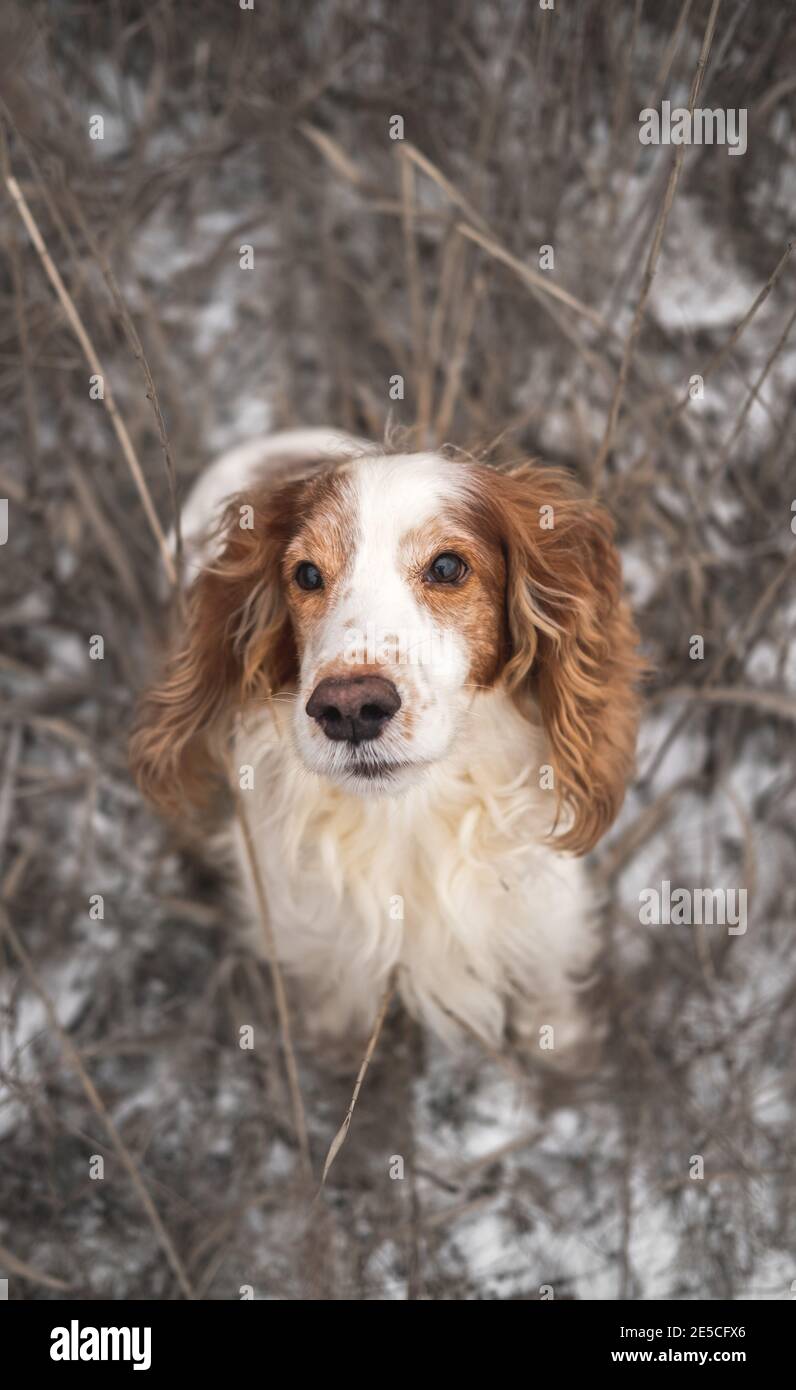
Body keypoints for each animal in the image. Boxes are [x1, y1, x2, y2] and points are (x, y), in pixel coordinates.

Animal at [130, 428, 639, 1067]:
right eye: (306, 575)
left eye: (447, 566)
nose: (348, 708)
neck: (409, 817)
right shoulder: (324, 964)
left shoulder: (542, 925)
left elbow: (551, 1015)